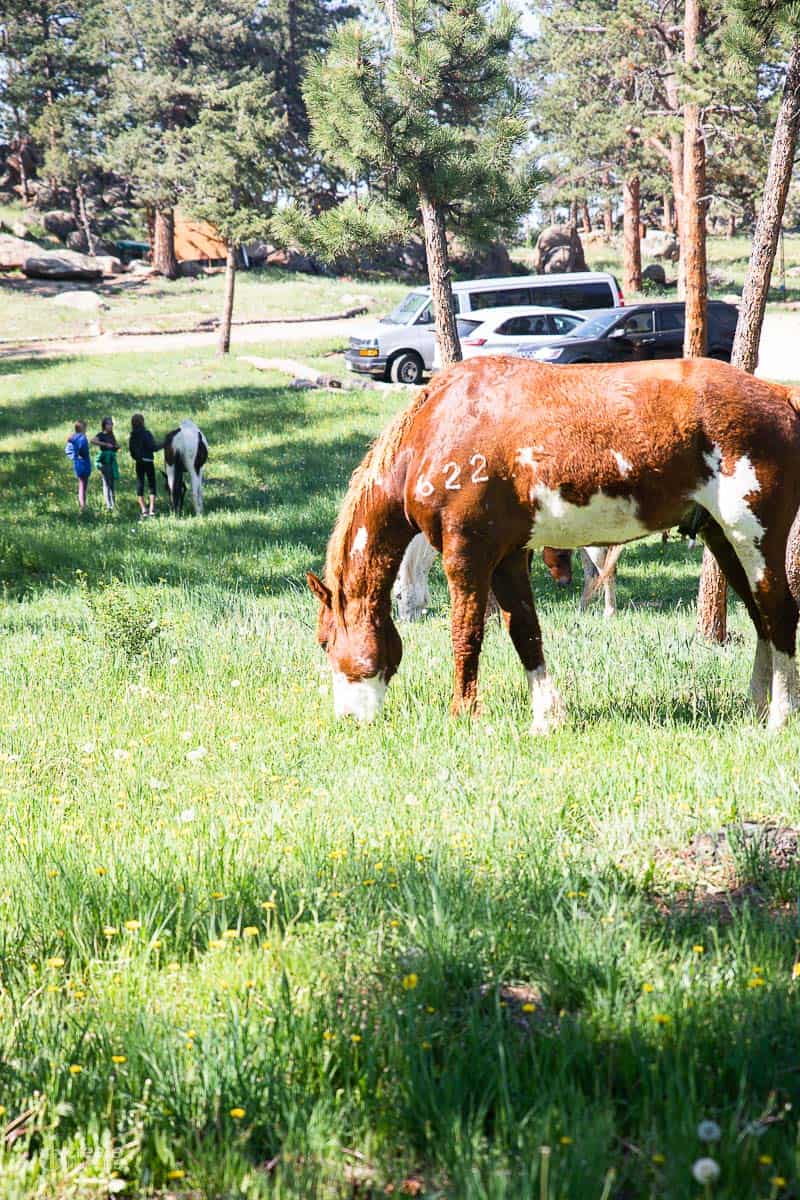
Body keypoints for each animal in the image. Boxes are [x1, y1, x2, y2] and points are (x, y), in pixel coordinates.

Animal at [309, 355, 800, 729]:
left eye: (325, 642)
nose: (347, 720)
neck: (439, 426)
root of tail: (780, 396)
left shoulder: (466, 555)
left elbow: (466, 634)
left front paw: (463, 715)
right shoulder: (508, 557)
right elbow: (525, 632)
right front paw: (547, 718)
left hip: (753, 536)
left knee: (779, 612)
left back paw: (779, 717)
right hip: (723, 539)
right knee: (760, 618)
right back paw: (756, 707)